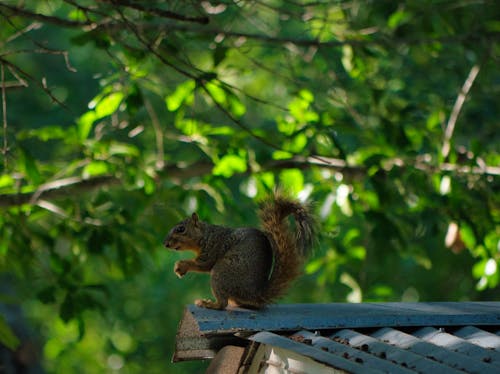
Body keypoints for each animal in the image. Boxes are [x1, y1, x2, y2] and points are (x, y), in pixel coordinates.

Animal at [163, 193, 316, 310]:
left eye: (181, 229)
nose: (165, 244)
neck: (205, 235)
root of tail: (255, 293)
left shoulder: (213, 247)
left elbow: (203, 264)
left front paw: (180, 266)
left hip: (222, 272)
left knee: (222, 303)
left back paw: (209, 304)